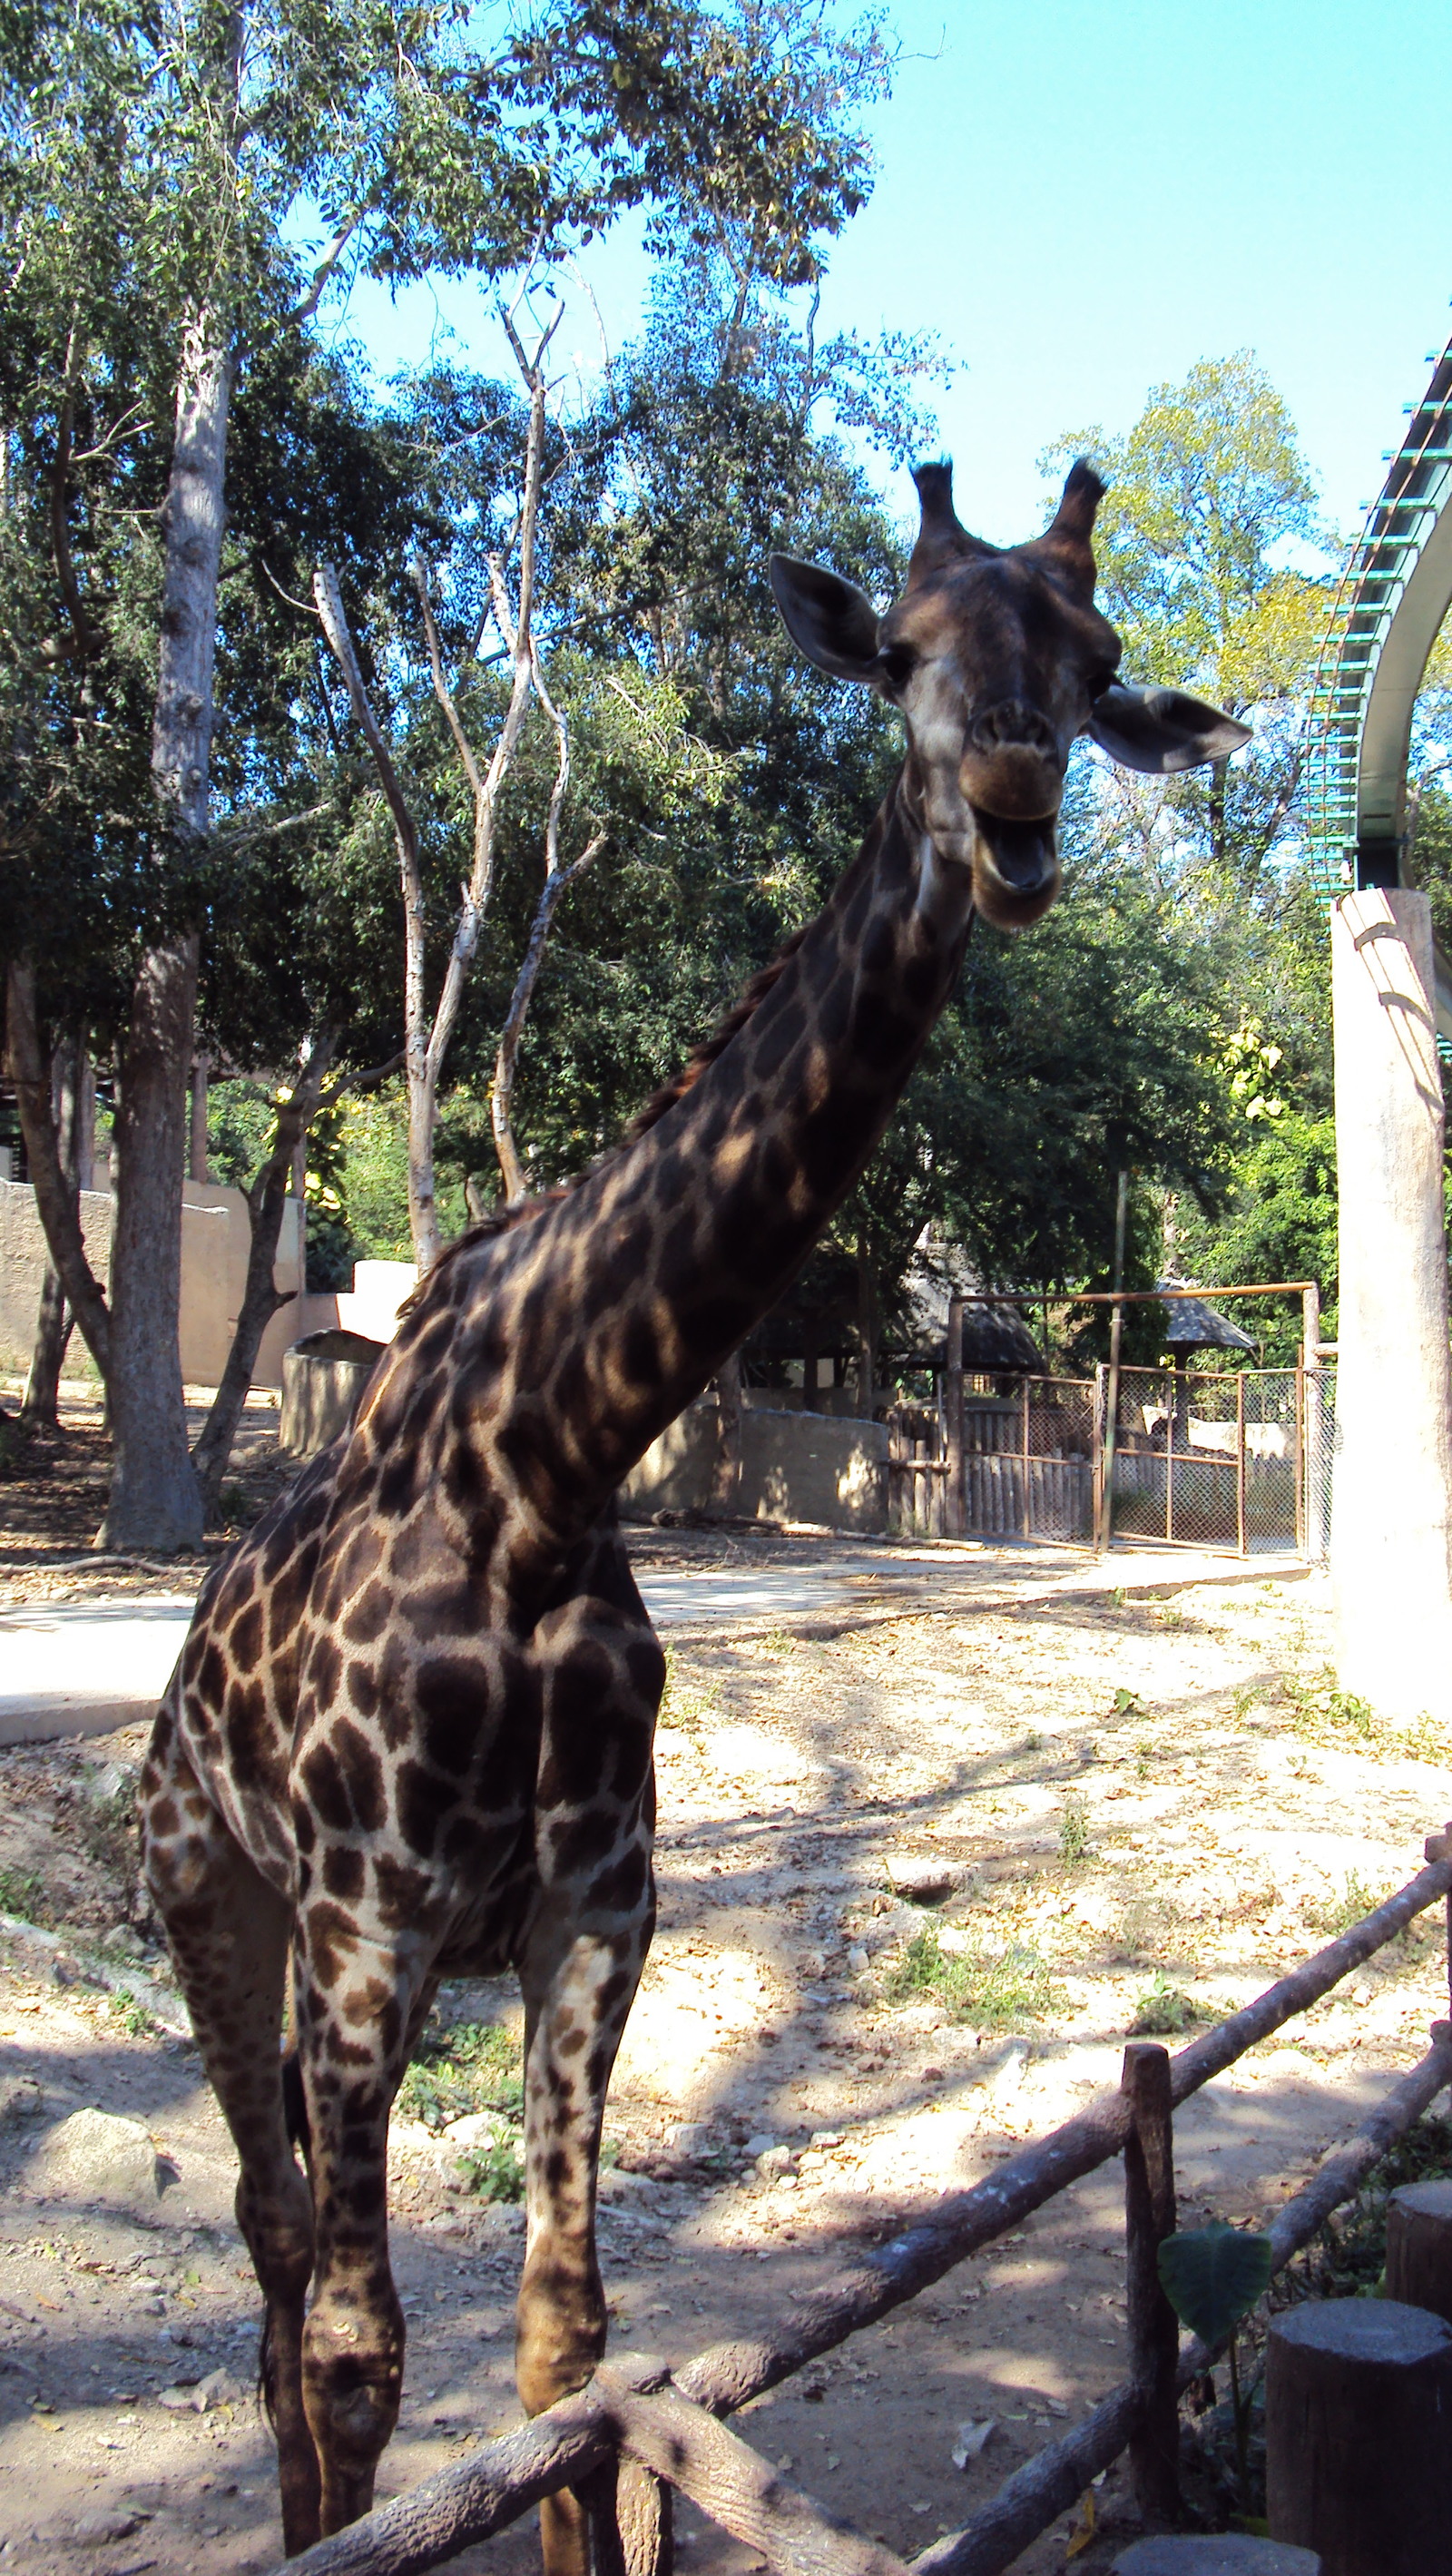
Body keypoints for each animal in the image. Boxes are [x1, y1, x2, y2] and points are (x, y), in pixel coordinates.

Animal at [139, 458, 1246, 2555]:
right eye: (897, 654)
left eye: (1093, 664)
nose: (1010, 802)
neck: (548, 1461)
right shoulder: (365, 1914)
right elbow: (365, 2347)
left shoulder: (596, 1908)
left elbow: (569, 2342)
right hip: (213, 1898)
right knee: (274, 2255)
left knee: (290, 2264)